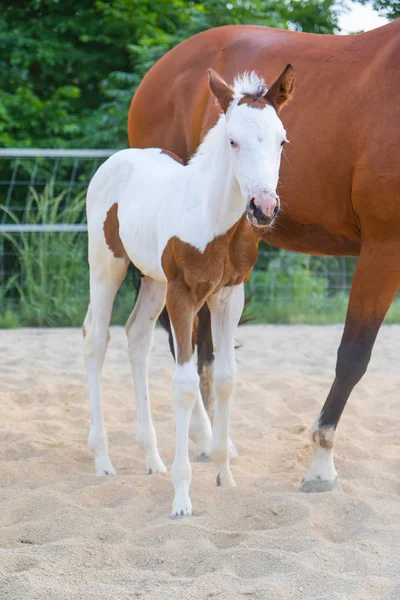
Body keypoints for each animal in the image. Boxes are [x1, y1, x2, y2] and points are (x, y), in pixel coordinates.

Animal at [83, 64, 294, 516]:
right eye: (233, 140)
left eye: (282, 140)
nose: (264, 208)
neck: (214, 219)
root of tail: (118, 159)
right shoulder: (183, 296)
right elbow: (184, 383)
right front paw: (182, 497)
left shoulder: (230, 296)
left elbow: (226, 377)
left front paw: (224, 474)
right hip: (107, 265)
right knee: (96, 339)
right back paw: (103, 459)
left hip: (152, 280)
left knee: (137, 336)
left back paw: (152, 458)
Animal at [129, 22, 400, 492]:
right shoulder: (384, 247)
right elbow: (353, 356)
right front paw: (321, 466)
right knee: (181, 340)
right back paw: (205, 439)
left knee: (204, 344)